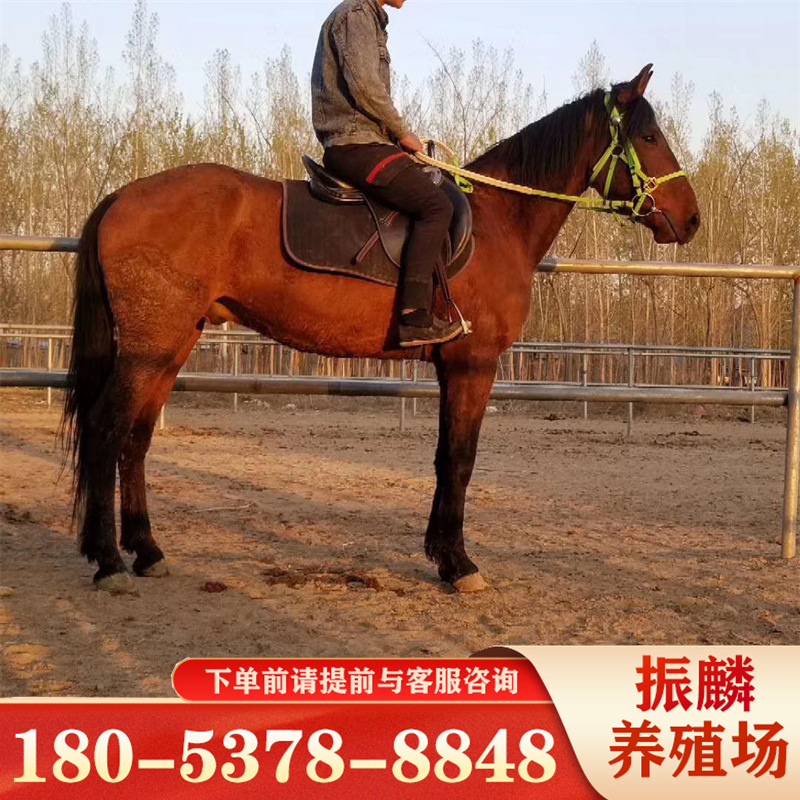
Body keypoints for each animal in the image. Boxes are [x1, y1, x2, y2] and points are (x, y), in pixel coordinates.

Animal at [63, 64, 699, 595]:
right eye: (647, 137)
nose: (691, 218)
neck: (496, 222)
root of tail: (121, 195)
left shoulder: (451, 368)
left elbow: (445, 457)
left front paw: (442, 555)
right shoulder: (474, 365)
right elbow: (461, 458)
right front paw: (459, 564)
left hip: (169, 348)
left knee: (136, 439)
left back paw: (146, 551)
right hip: (149, 348)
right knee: (106, 430)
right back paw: (109, 562)